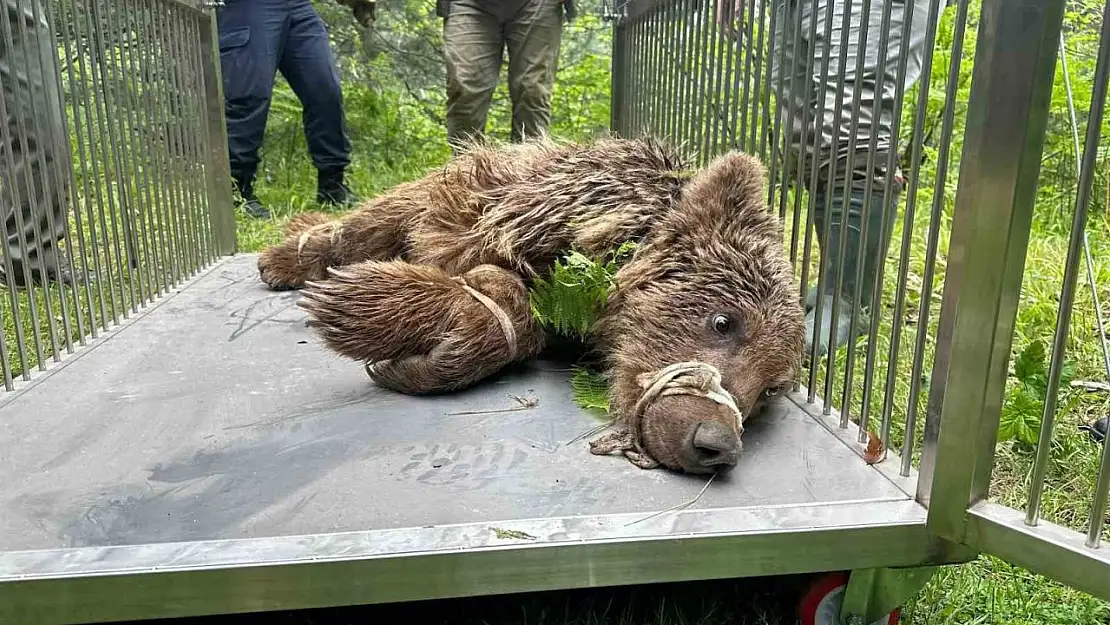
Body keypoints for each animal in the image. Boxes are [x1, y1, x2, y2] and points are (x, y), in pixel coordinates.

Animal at [255, 135, 803, 475]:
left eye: (770, 389)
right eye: (723, 321)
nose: (716, 444)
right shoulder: (510, 210)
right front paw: (362, 305)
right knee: (370, 218)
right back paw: (288, 254)